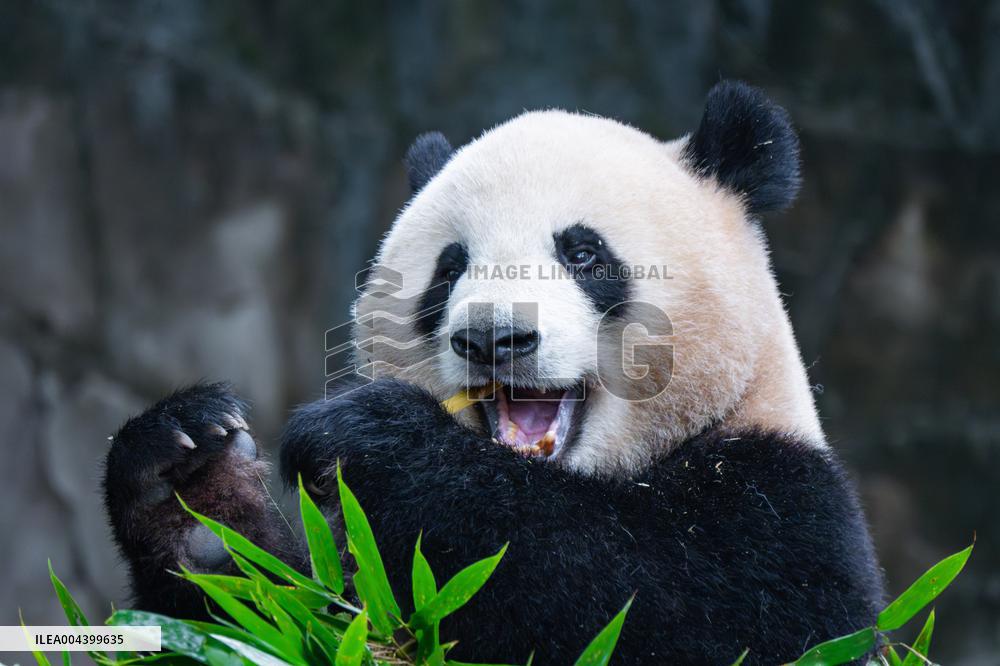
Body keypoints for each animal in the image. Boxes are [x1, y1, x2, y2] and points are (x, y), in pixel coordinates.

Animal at [104, 81, 884, 665]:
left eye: (582, 253)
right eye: (450, 267)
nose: (493, 337)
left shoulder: (785, 508)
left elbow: (667, 610)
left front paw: (376, 438)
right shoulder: (358, 582)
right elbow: (268, 620)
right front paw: (195, 486)